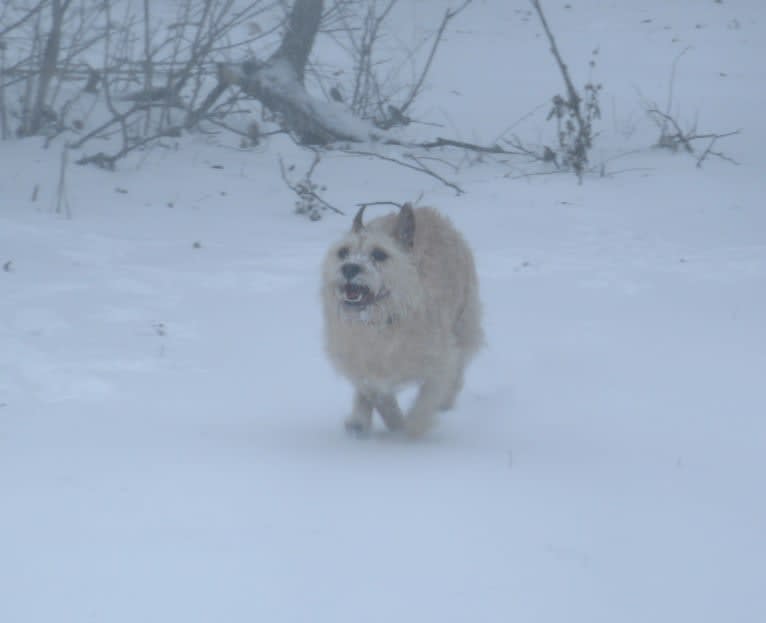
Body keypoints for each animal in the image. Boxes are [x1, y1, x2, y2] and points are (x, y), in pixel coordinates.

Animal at [320, 202, 484, 436]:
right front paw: (392, 422)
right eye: (343, 252)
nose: (349, 267)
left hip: (464, 322)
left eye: (379, 254)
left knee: (459, 367)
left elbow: (426, 400)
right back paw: (358, 422)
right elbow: (379, 397)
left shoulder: (441, 362)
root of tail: (427, 210)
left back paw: (446, 402)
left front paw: (409, 433)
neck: (380, 323)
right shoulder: (362, 366)